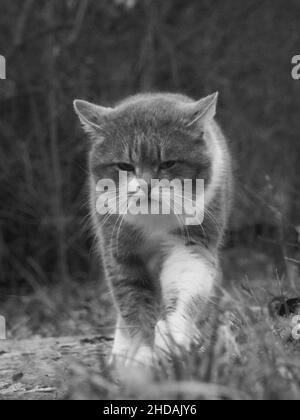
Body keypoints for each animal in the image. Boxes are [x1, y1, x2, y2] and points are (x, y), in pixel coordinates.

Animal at [74, 92, 233, 368]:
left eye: (168, 163)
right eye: (125, 166)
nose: (146, 186)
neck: (154, 221)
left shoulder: (191, 244)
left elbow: (185, 288)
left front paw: (172, 339)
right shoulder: (121, 253)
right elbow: (133, 303)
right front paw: (142, 354)